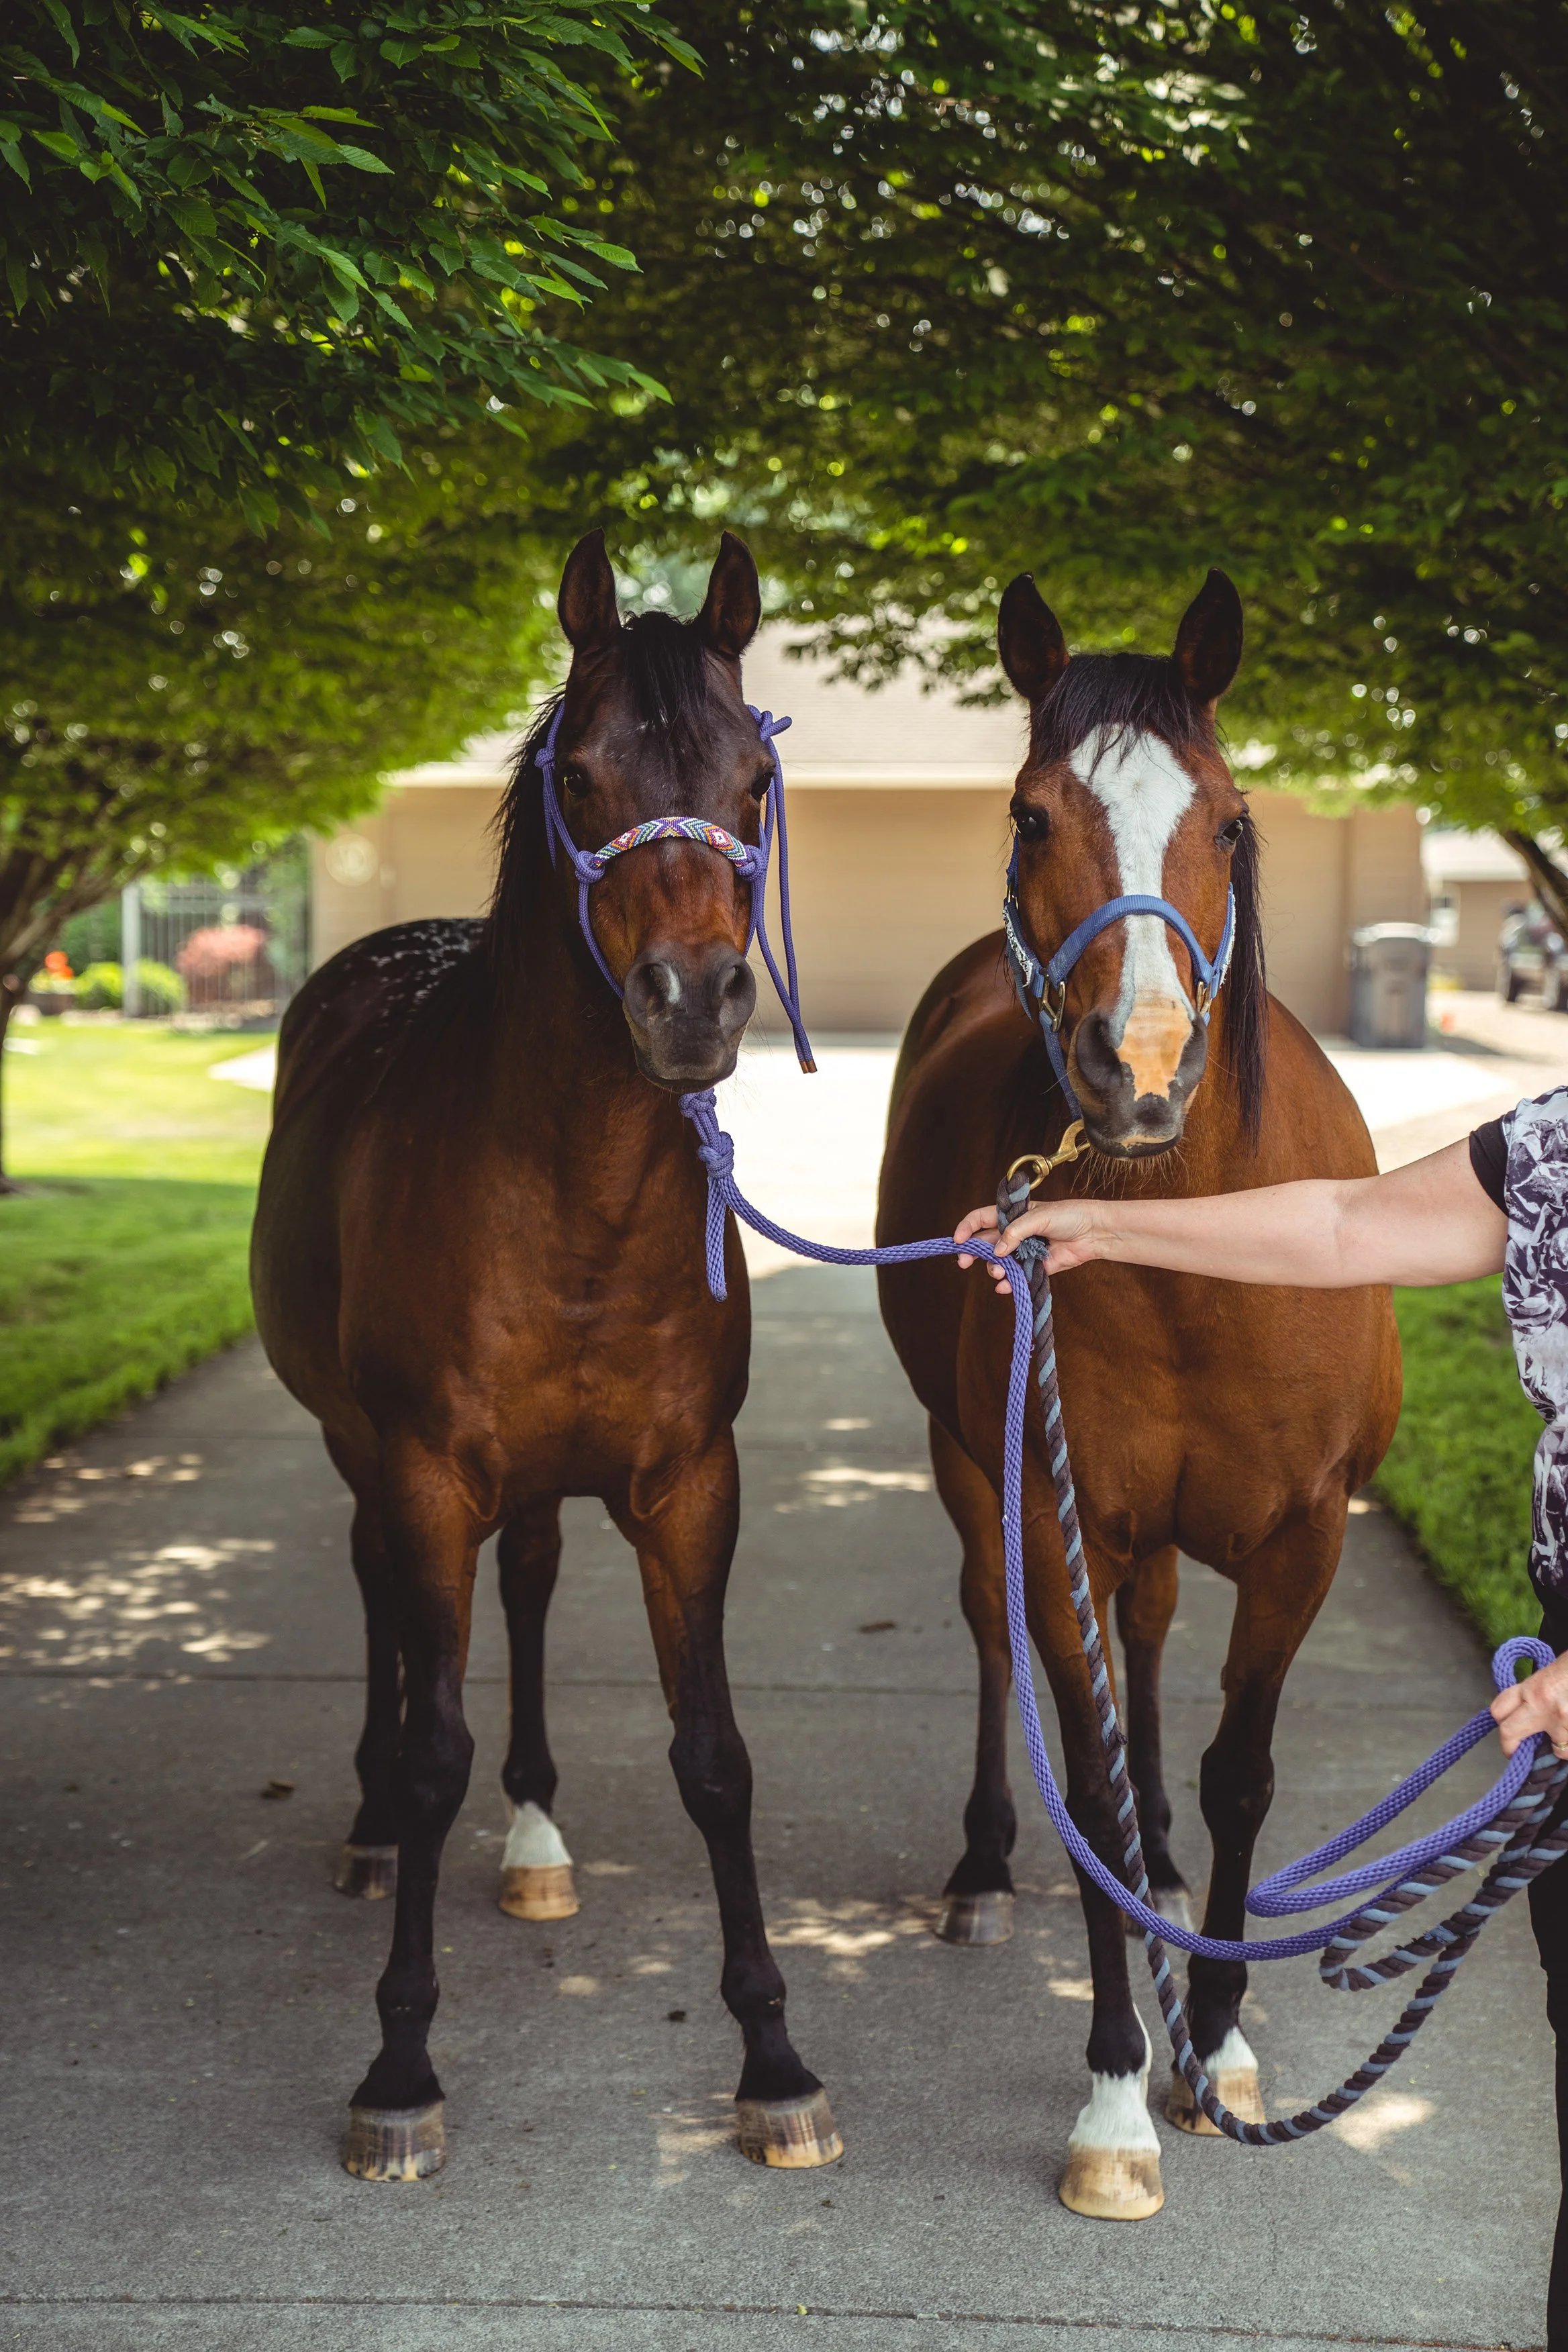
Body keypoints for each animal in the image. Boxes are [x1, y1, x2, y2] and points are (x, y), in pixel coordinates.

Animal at [250, 529, 841, 2181]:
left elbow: (715, 1758)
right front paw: (399, 2066)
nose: (693, 1002)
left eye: (754, 782)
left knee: (521, 1584)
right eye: (581, 775)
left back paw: (534, 1841)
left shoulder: (689, 1484)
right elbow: (432, 1740)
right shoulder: (427, 1470)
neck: (570, 1189)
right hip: (367, 1453)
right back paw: (374, 1826)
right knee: (386, 1600)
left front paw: (774, 2058)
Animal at [875, 568, 1401, 2219]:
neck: (1194, 1258)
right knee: (1001, 1641)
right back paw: (987, 1870)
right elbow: (1088, 1789)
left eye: (1229, 820)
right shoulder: (1056, 1526)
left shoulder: (1305, 1534)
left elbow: (1236, 1775)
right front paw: (1116, 2094)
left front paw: (1215, 2039)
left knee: (1158, 1650)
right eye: (1030, 814)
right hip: (974, 1474)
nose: (1143, 1069)